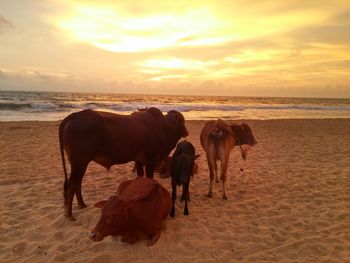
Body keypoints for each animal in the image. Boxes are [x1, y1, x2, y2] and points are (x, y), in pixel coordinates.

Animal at [59, 107, 189, 221]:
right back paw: (69, 214)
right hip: (79, 162)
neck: (163, 127)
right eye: (181, 120)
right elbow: (150, 179)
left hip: (79, 164)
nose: (186, 132)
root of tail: (76, 115)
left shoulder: (138, 161)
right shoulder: (151, 160)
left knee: (78, 182)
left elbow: (140, 178)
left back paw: (81, 204)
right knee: (72, 184)